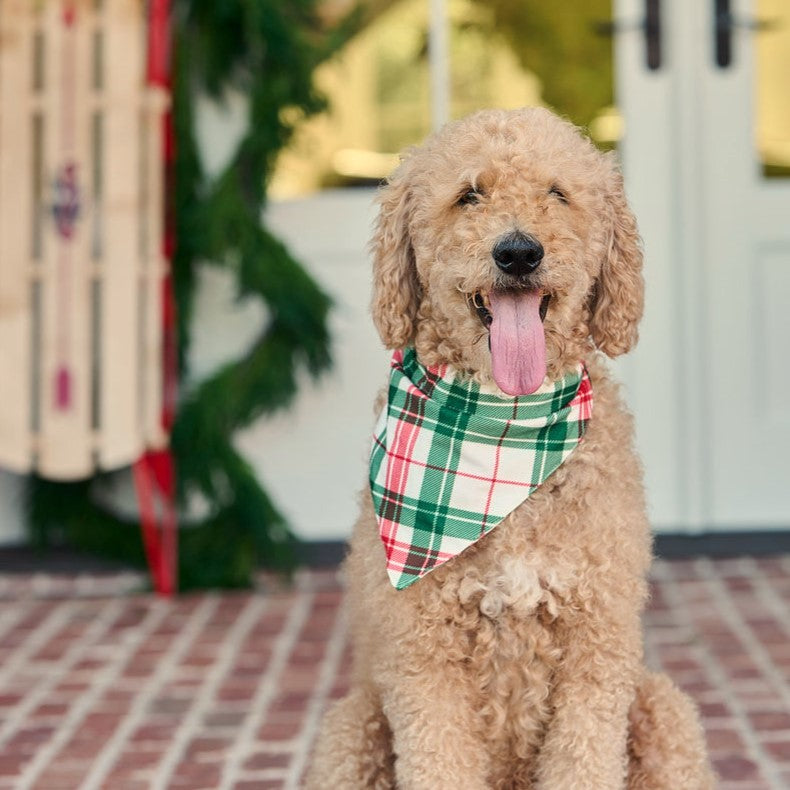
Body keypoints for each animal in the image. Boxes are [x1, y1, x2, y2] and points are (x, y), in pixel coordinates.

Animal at [306, 110, 716, 790]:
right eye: (469, 194)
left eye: (557, 193)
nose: (519, 252)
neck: (505, 435)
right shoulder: (423, 660)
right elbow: (439, 760)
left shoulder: (597, 646)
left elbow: (583, 759)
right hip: (350, 728)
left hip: (663, 710)